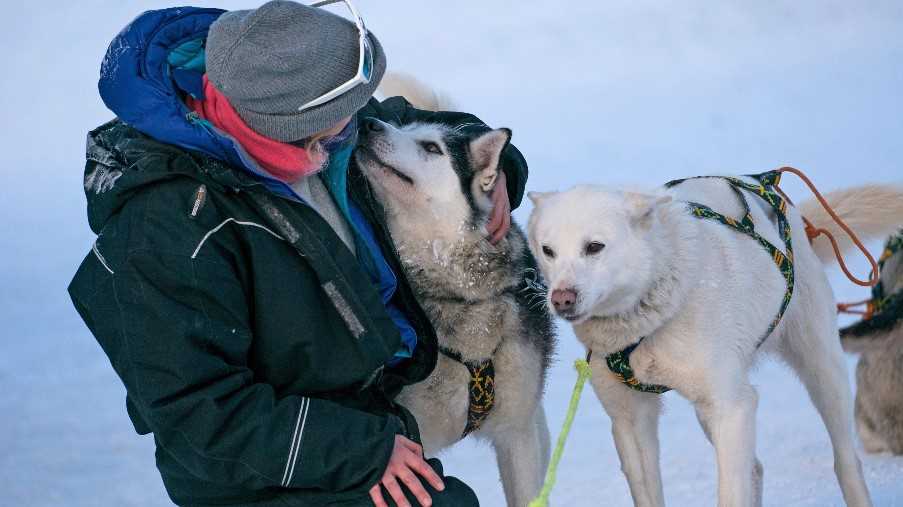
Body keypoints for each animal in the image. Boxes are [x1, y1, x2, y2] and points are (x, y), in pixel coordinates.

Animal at [354, 76, 556, 507]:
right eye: (403, 130)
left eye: (432, 147)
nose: (368, 125)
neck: (460, 292)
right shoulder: (418, 443)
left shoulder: (518, 435)